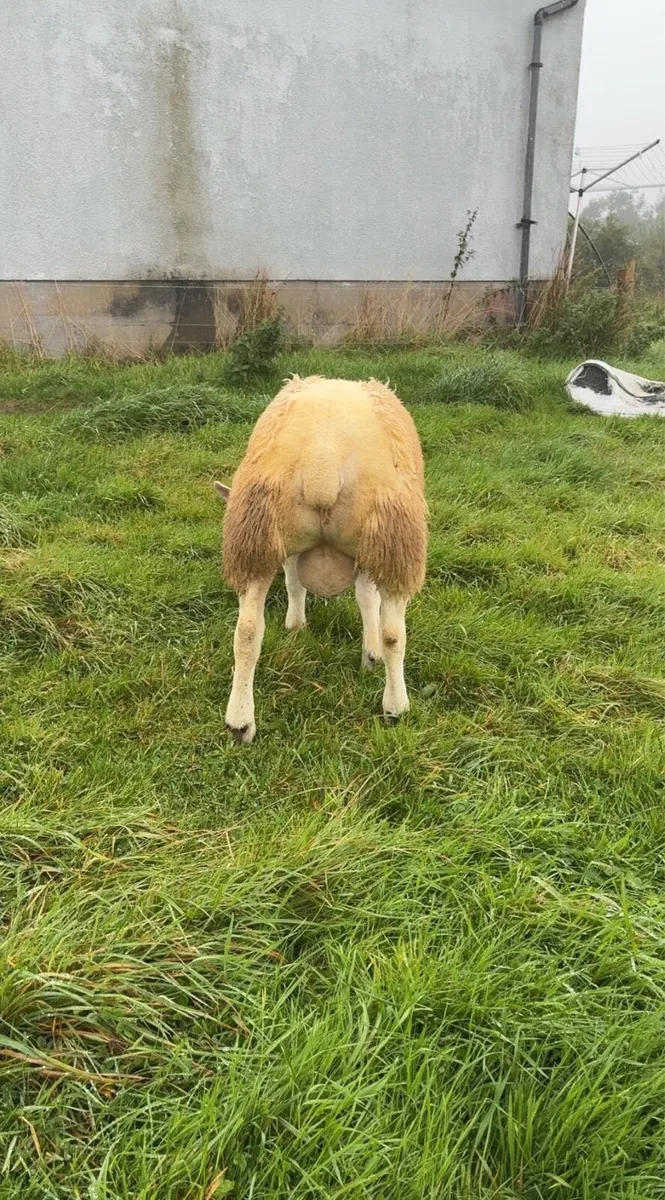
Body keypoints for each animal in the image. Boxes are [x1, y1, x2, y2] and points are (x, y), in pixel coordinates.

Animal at [215, 374, 427, 743]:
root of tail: (322, 459)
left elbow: (295, 583)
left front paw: (296, 626)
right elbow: (367, 597)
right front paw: (370, 654)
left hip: (257, 536)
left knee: (247, 631)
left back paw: (240, 722)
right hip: (395, 538)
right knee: (394, 633)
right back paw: (396, 707)